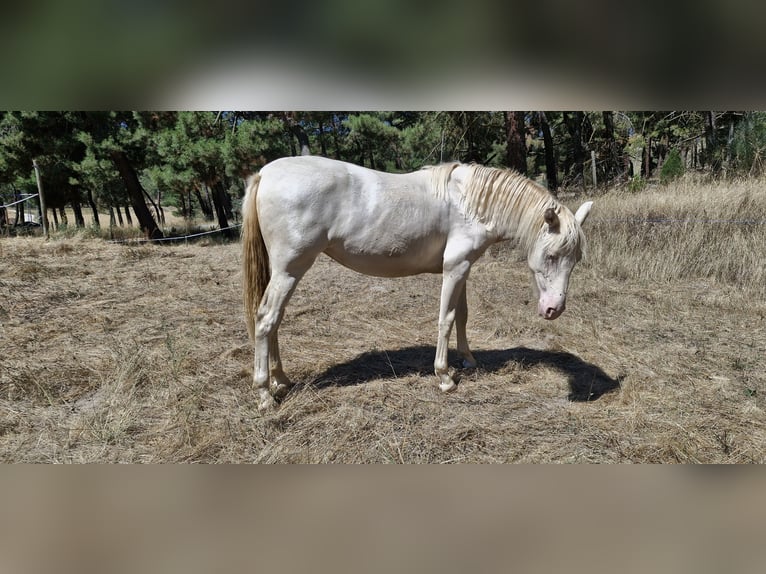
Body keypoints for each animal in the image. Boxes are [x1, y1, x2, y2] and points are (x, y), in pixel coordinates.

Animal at [242, 155, 593, 410]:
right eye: (551, 256)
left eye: (575, 259)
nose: (554, 309)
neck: (470, 202)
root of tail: (265, 174)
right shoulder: (454, 268)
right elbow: (446, 319)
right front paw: (444, 377)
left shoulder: (462, 269)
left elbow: (462, 316)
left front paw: (468, 360)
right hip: (290, 270)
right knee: (266, 319)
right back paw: (265, 395)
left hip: (285, 273)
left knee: (274, 321)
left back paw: (281, 380)